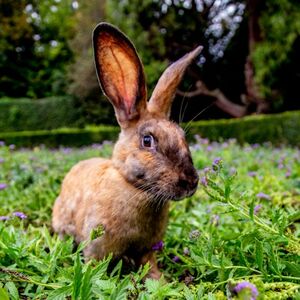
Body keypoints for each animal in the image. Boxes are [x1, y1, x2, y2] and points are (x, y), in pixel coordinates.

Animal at [52, 22, 202, 280]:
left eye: (182, 137)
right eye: (147, 140)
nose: (191, 182)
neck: (135, 187)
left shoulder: (147, 249)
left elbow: (149, 266)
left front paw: (160, 281)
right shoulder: (97, 248)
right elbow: (95, 266)